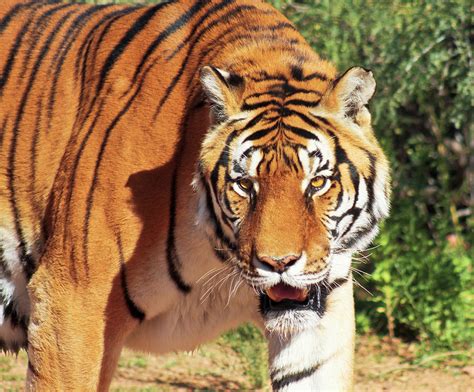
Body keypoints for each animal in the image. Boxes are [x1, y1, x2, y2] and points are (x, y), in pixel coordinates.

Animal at [0, 0, 390, 388]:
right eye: (245, 185)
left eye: (317, 183)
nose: (279, 264)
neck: (216, 256)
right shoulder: (72, 300)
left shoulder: (323, 316)